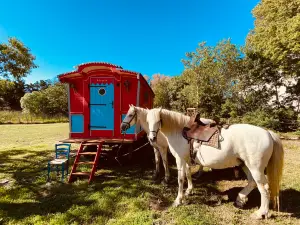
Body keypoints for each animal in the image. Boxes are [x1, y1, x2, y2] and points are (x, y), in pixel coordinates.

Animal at [147, 107, 284, 220]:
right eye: (147, 121)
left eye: (158, 120)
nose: (152, 139)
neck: (179, 131)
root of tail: (268, 133)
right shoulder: (185, 160)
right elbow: (188, 175)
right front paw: (189, 191)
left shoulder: (180, 159)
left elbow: (180, 179)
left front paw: (177, 200)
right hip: (245, 165)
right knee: (252, 182)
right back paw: (240, 199)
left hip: (256, 168)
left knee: (264, 188)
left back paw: (261, 213)